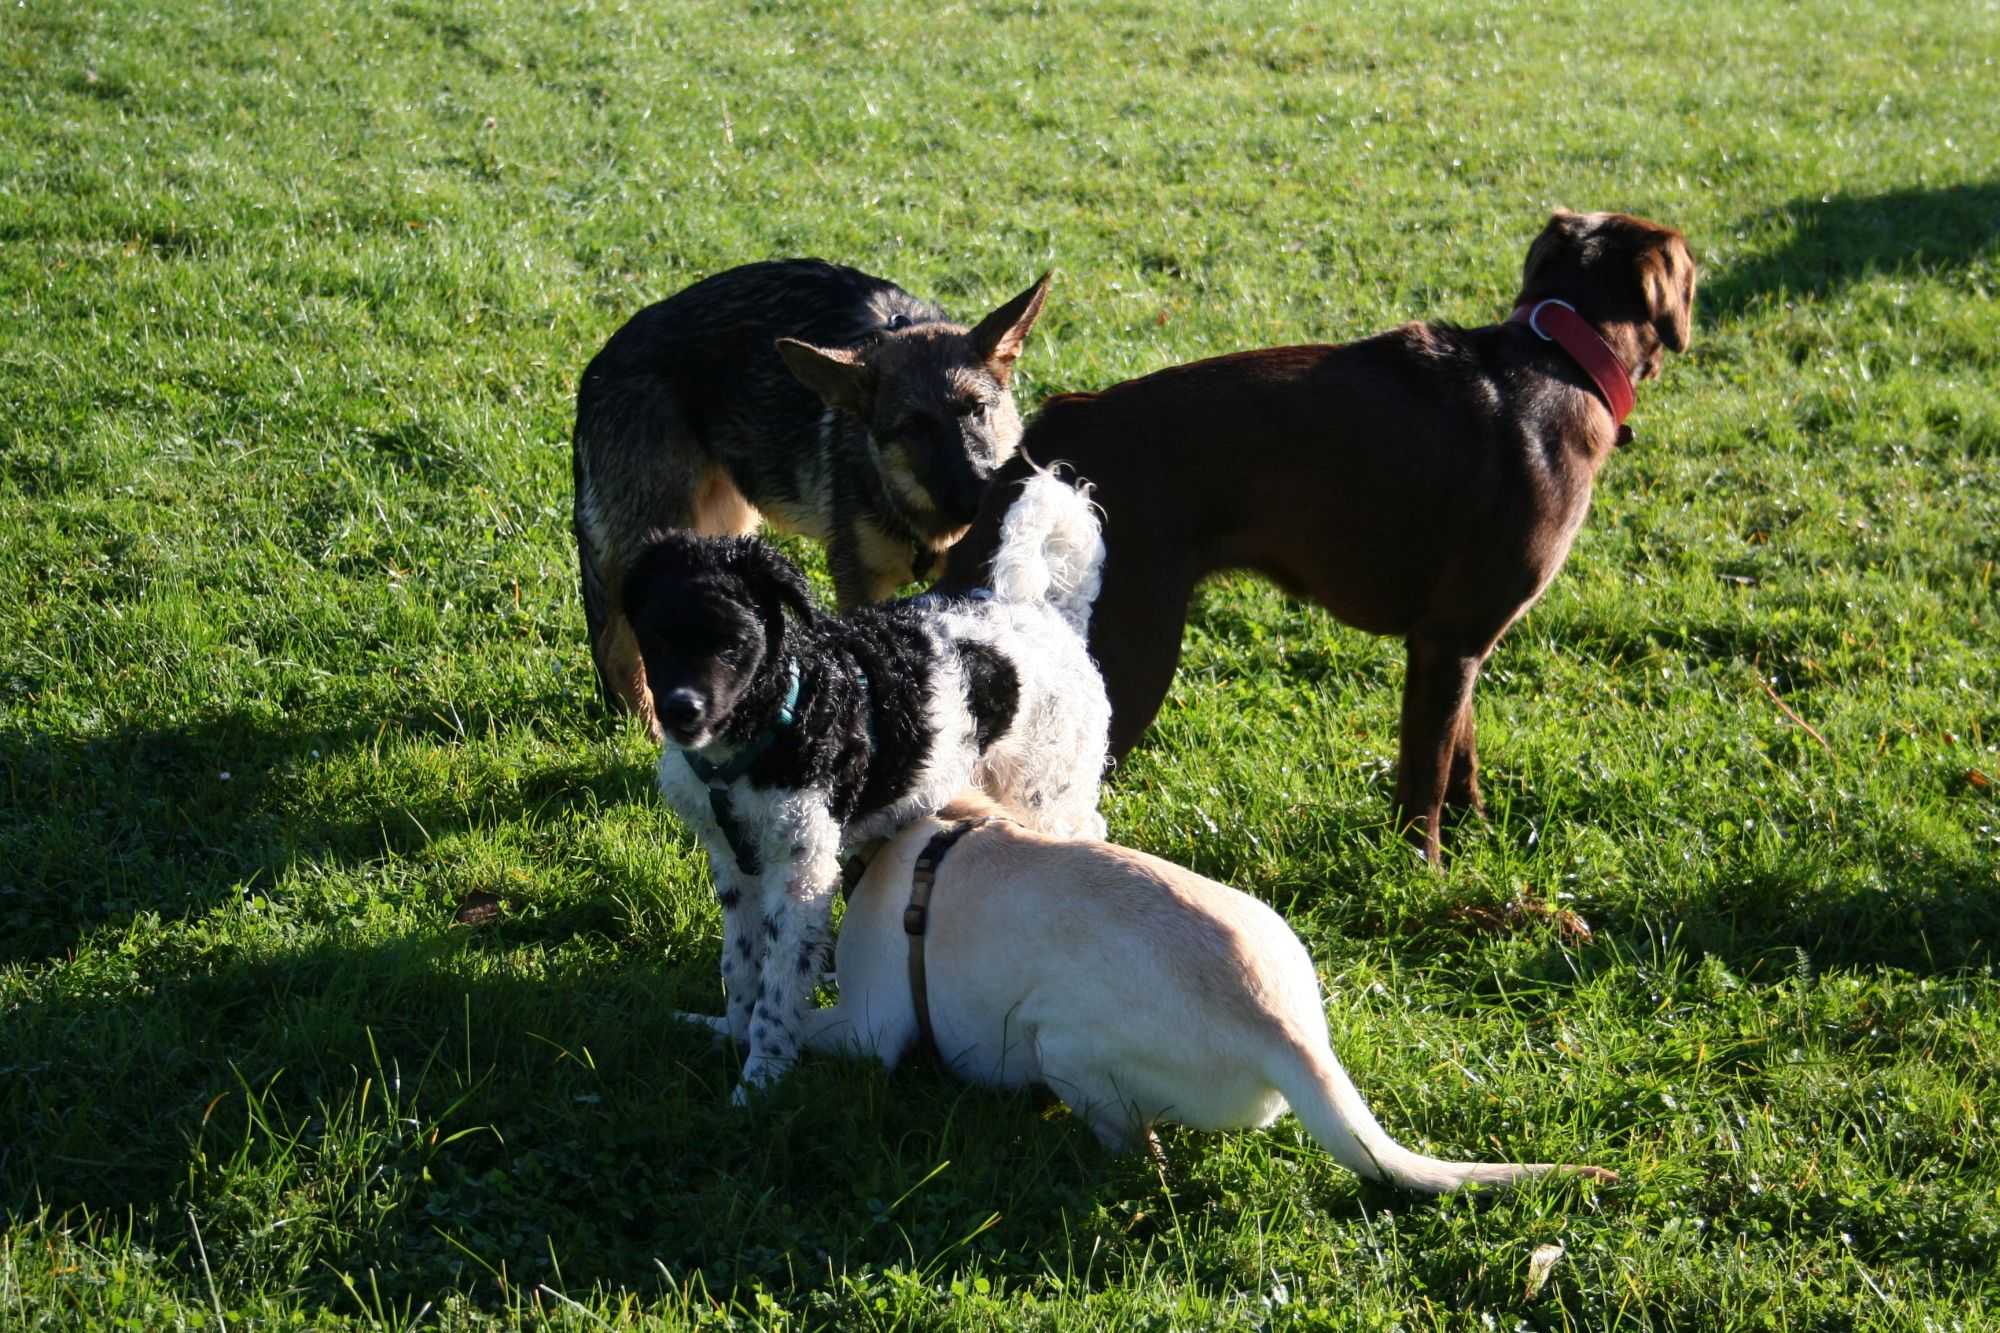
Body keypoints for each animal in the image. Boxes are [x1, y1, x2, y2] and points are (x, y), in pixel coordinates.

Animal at [575, 259, 1051, 737]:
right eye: (914, 428)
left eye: (977, 409)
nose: (980, 499)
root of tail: (597, 367)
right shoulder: (861, 586)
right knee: (619, 645)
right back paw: (649, 730)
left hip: (722, 531)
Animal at [627, 471, 1109, 1097]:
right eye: (657, 638)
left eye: (732, 644)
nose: (681, 711)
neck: (776, 715)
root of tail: (1045, 613)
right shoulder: (734, 862)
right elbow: (742, 961)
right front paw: (727, 1032)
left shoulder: (801, 868)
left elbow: (779, 982)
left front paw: (759, 1079)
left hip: (1046, 786)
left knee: (1086, 826)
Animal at [689, 788, 1615, 1193]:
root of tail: (1284, 1030)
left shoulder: (870, 1028)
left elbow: (774, 1025)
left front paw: (709, 1024)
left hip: (1056, 1040)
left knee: (1141, 1147)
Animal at [938, 211, 1696, 864]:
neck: (1557, 357)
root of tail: (1055, 432)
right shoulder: (1449, 643)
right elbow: (1424, 776)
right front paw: (1424, 869)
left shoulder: (1456, 644)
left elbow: (1461, 751)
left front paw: (1476, 832)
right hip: (1130, 662)